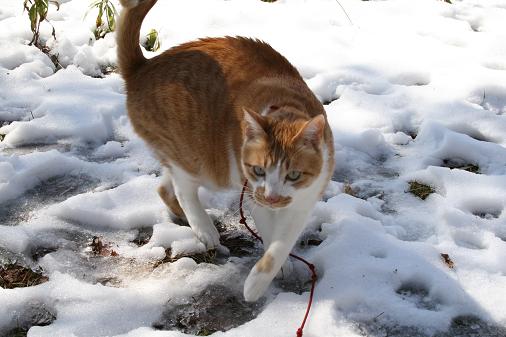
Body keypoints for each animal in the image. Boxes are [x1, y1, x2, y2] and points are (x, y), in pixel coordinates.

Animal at [116, 0, 334, 300]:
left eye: (293, 175)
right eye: (258, 170)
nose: (272, 197)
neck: (285, 106)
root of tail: (142, 67)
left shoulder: (303, 202)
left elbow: (280, 244)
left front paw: (269, 270)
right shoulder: (253, 193)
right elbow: (271, 237)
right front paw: (257, 285)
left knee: (164, 187)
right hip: (196, 160)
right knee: (182, 189)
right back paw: (204, 228)